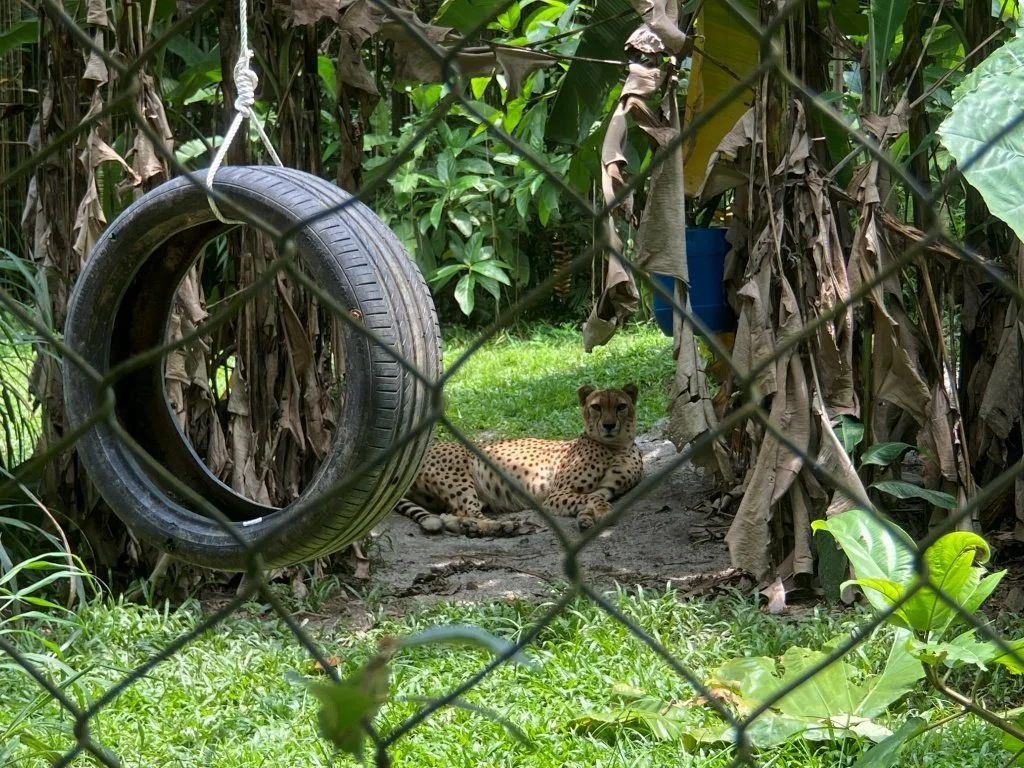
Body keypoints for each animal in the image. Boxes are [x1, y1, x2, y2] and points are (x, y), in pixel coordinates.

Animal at [394, 383, 644, 537]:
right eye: (596, 407)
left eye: (621, 406)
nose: (609, 425)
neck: (615, 447)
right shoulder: (555, 495)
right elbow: (593, 498)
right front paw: (601, 513)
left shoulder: (605, 489)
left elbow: (593, 498)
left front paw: (587, 518)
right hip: (459, 473)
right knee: (468, 512)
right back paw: (504, 526)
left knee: (452, 514)